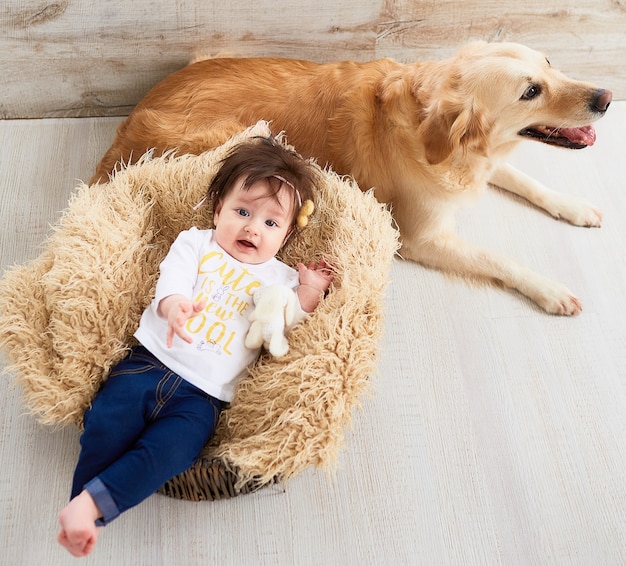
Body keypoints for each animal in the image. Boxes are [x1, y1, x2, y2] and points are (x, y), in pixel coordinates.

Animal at [92, 42, 608, 318]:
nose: (605, 96)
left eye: (548, 62)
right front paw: (551, 290)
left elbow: (526, 180)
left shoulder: (485, 162)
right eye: (530, 91)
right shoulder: (422, 238)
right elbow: (497, 258)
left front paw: (575, 206)